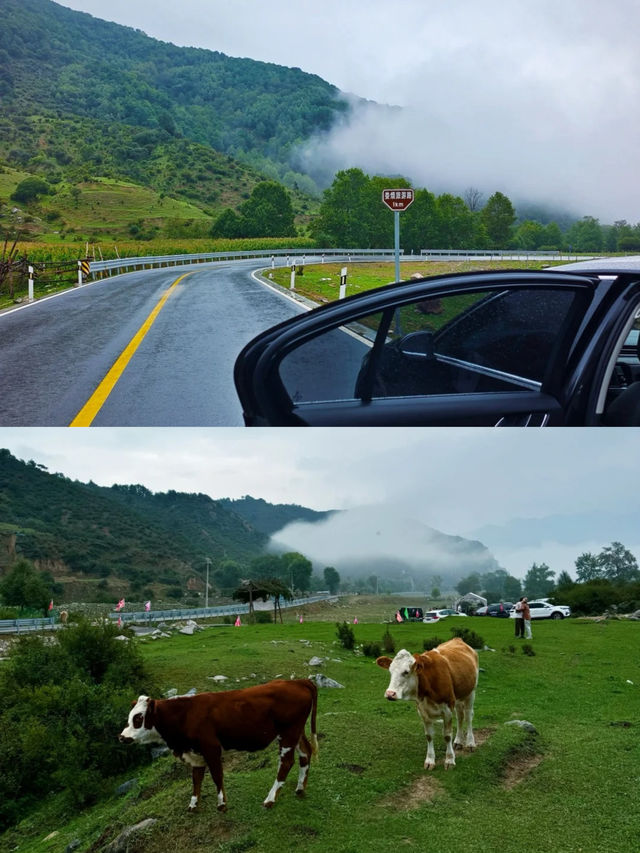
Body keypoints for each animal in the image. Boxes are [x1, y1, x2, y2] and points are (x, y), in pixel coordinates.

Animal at [119, 680, 318, 812]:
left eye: (138, 718)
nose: (122, 737)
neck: (185, 714)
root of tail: (297, 681)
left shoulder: (211, 747)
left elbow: (216, 775)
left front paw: (222, 803)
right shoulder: (195, 752)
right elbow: (196, 779)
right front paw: (193, 804)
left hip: (288, 733)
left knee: (286, 763)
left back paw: (270, 799)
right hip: (296, 732)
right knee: (305, 753)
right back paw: (300, 788)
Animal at [378, 636, 478, 768]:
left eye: (406, 672)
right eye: (390, 671)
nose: (390, 693)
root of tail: (458, 639)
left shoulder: (447, 709)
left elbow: (447, 736)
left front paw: (449, 760)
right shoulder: (423, 711)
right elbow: (429, 736)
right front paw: (430, 760)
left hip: (471, 692)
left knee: (468, 716)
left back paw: (470, 743)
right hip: (457, 697)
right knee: (460, 716)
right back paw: (458, 741)